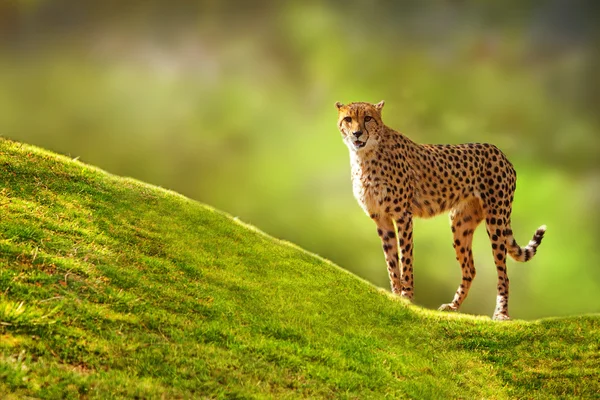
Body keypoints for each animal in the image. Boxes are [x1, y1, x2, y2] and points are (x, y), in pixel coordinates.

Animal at [336, 101, 548, 320]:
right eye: (348, 119)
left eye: (368, 118)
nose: (357, 133)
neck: (365, 155)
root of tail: (499, 151)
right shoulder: (381, 218)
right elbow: (391, 262)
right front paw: (394, 296)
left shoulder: (403, 215)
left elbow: (405, 258)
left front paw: (407, 297)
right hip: (460, 223)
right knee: (470, 269)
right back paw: (454, 306)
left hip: (496, 219)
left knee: (503, 274)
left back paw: (501, 314)